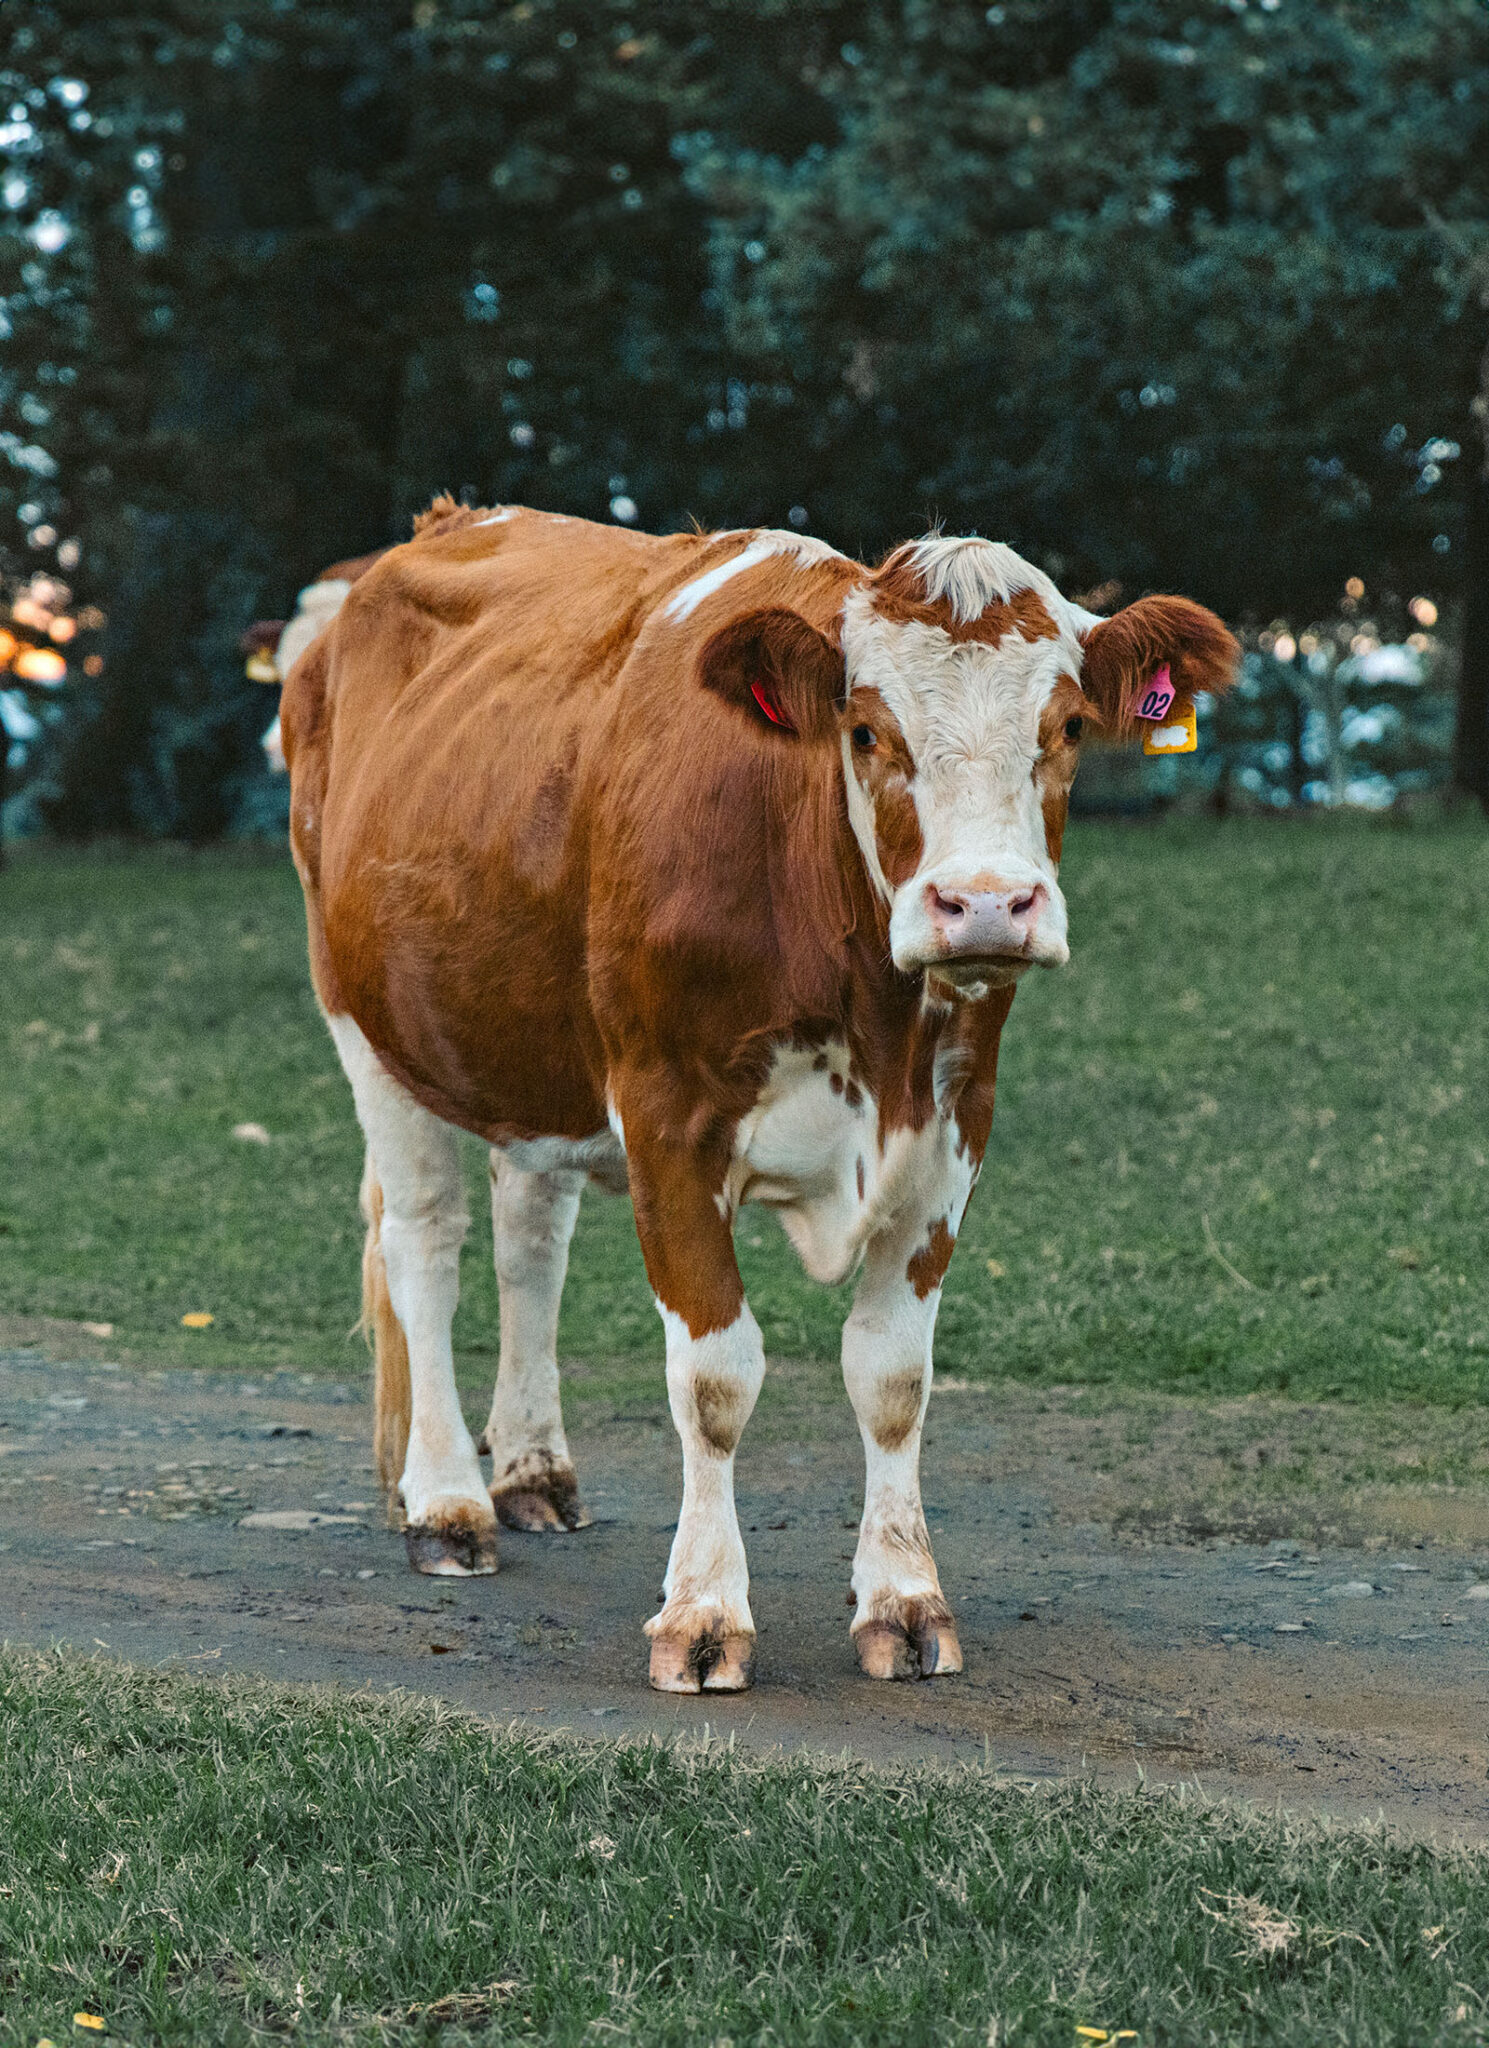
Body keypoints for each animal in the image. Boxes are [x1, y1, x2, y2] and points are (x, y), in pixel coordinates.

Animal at [281, 496, 1238, 1694]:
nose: (982, 905)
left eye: (1064, 727)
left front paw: (903, 1600)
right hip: (365, 1017)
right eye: (866, 731)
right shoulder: (666, 1118)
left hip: (524, 1047)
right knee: (424, 1241)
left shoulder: (953, 1125)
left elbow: (891, 1373)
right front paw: (701, 1614)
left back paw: (533, 1470)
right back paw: (449, 1502)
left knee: (527, 1238)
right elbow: (715, 1378)